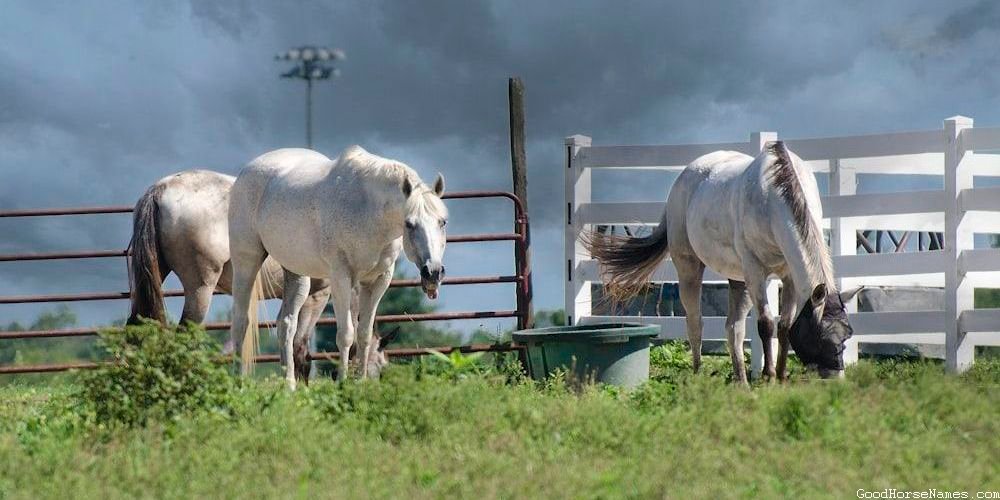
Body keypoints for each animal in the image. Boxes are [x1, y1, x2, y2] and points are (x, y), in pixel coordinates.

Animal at [230, 145, 450, 386]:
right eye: (409, 224)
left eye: (442, 222)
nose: (433, 273)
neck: (367, 210)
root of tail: (247, 170)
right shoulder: (341, 278)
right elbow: (346, 334)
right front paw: (343, 382)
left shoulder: (377, 281)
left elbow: (363, 334)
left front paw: (361, 381)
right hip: (245, 262)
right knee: (241, 322)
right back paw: (238, 382)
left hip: (296, 273)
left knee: (286, 324)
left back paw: (289, 385)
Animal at [584, 143, 860, 384]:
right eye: (820, 336)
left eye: (848, 334)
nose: (837, 378)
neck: (773, 196)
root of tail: (682, 179)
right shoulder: (755, 271)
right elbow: (766, 324)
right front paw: (769, 376)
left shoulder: (788, 275)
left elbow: (784, 326)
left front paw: (781, 377)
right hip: (690, 269)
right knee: (695, 323)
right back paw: (698, 375)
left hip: (738, 280)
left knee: (733, 329)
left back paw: (742, 382)